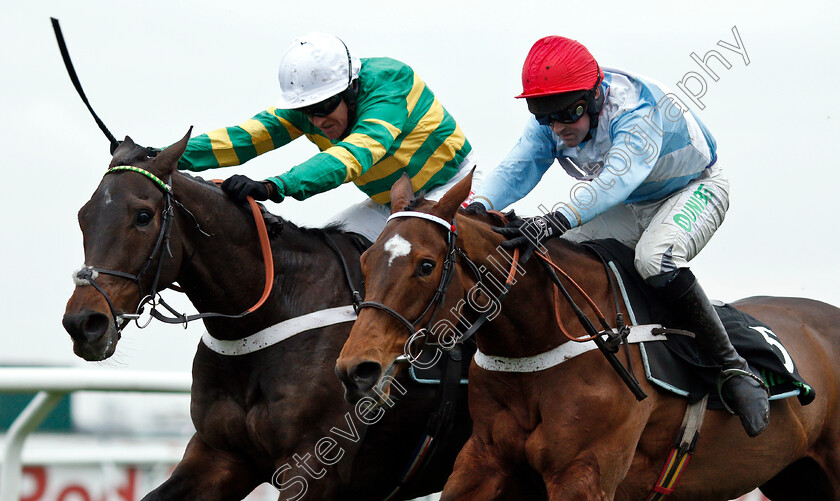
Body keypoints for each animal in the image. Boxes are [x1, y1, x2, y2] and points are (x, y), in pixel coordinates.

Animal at [61, 131, 472, 498]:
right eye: (83, 216)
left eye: (143, 216)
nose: (83, 324)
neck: (267, 317)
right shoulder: (220, 453)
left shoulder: (316, 465)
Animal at [334, 170, 840, 498]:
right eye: (365, 260)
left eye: (425, 265)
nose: (356, 369)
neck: (537, 347)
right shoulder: (481, 459)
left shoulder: (584, 472)